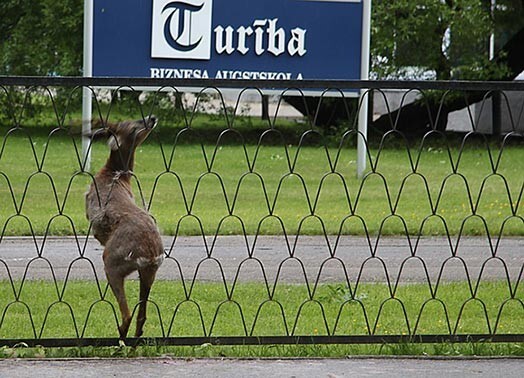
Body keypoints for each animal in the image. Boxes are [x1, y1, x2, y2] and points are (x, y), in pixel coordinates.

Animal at [86, 116, 164, 340]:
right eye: (134, 122)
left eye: (127, 125)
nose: (152, 118)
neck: (116, 175)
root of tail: (149, 254)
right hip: (149, 272)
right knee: (141, 315)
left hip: (113, 262)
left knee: (128, 314)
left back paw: (120, 336)